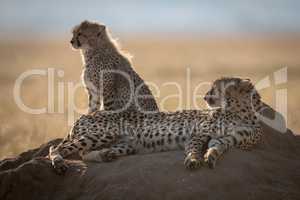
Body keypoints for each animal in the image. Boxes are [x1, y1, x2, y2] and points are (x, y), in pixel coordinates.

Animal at [49, 77, 264, 174]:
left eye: (215, 88)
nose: (205, 96)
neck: (240, 112)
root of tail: (86, 115)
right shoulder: (198, 132)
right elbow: (194, 148)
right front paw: (194, 160)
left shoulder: (227, 139)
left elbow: (216, 147)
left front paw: (210, 158)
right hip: (105, 133)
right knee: (58, 148)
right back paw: (59, 162)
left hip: (126, 144)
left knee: (85, 152)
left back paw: (105, 155)